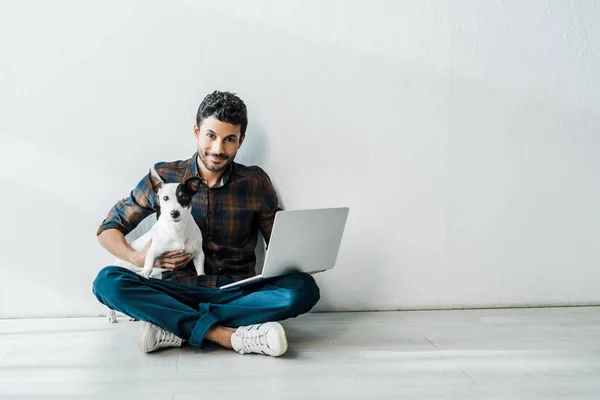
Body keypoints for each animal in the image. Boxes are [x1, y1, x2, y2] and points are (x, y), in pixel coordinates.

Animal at [104, 167, 205, 324]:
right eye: (165, 198)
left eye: (184, 197)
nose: (174, 213)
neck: (177, 229)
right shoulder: (153, 251)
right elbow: (149, 264)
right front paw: (144, 274)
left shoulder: (199, 254)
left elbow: (200, 270)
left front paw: (201, 277)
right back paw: (111, 314)